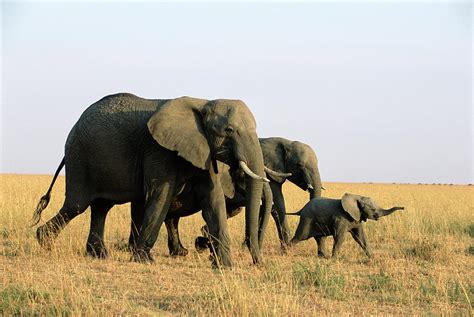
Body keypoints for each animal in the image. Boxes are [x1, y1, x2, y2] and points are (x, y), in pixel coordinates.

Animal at [32, 92, 270, 266]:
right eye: (229, 130)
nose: (257, 263)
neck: (202, 102)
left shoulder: (203, 152)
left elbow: (214, 201)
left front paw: (224, 266)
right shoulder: (158, 150)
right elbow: (159, 196)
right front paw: (144, 260)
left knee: (101, 207)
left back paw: (98, 254)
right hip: (79, 155)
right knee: (77, 204)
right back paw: (44, 242)